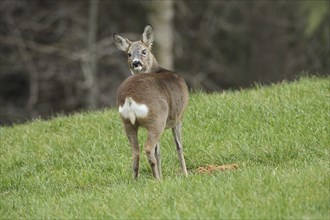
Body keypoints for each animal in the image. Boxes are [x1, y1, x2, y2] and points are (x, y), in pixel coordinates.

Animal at [114, 24, 188, 179]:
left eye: (144, 51)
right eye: (129, 54)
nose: (136, 63)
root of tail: (130, 98)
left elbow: (159, 151)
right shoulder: (178, 117)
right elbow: (178, 145)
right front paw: (185, 174)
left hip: (127, 123)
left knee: (136, 152)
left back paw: (136, 180)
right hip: (157, 119)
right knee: (148, 149)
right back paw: (157, 179)